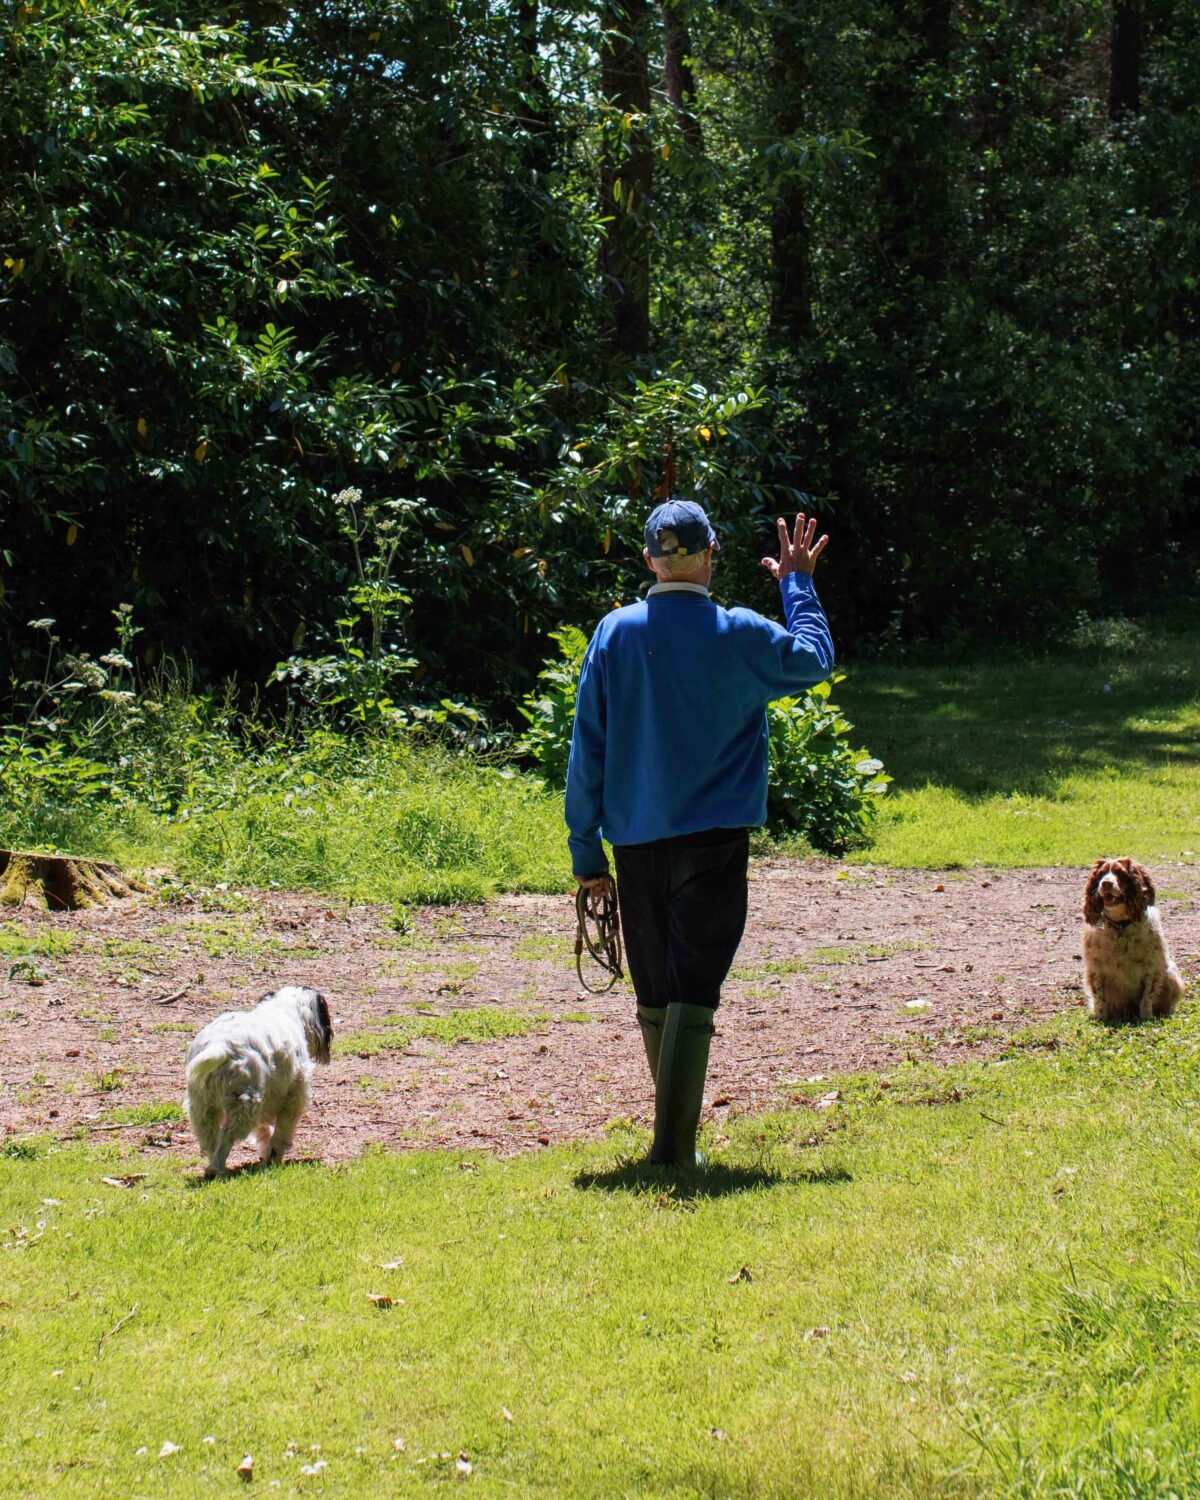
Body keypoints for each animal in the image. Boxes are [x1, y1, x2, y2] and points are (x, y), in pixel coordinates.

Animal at [183, 984, 333, 1182]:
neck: (283, 1009)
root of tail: (220, 1045)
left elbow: (264, 1132)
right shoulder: (293, 1099)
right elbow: (280, 1134)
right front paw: (273, 1159)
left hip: (203, 1107)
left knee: (210, 1140)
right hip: (244, 1104)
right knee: (225, 1137)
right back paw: (217, 1170)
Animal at [1080, 864, 1188, 1026]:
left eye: (1120, 873)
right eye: (1101, 874)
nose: (1106, 883)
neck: (1120, 926)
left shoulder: (1152, 966)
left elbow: (1147, 997)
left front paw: (1146, 1018)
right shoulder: (1095, 967)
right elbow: (1099, 997)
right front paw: (1100, 1018)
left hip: (1171, 974)